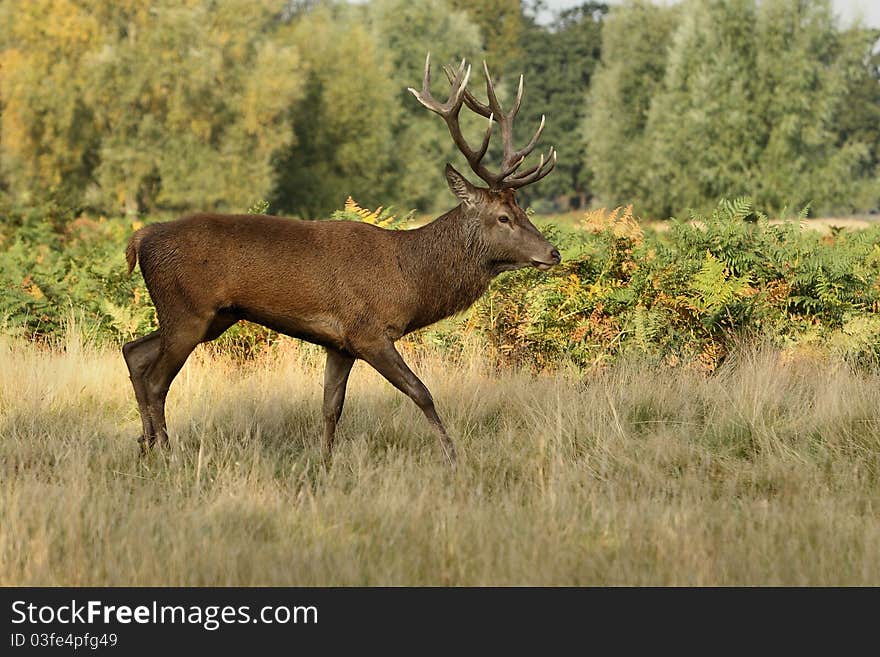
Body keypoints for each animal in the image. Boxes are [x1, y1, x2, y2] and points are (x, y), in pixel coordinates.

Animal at [121, 57, 560, 466]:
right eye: (503, 218)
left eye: (521, 209)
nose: (552, 252)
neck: (409, 278)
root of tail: (141, 238)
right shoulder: (367, 331)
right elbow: (421, 392)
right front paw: (453, 457)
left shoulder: (339, 344)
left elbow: (331, 407)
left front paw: (326, 461)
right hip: (188, 309)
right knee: (157, 379)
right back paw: (166, 451)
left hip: (212, 317)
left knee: (135, 352)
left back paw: (144, 445)